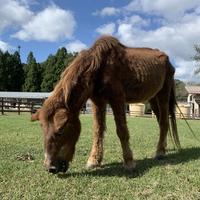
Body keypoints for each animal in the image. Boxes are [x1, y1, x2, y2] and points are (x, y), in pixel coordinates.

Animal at [32, 35, 180, 173]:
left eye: (60, 131)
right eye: (43, 130)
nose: (50, 167)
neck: (100, 67)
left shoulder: (117, 99)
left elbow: (122, 131)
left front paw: (129, 162)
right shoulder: (98, 102)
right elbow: (98, 130)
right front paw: (94, 160)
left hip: (163, 95)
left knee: (164, 123)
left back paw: (160, 152)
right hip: (153, 98)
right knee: (161, 123)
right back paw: (163, 148)